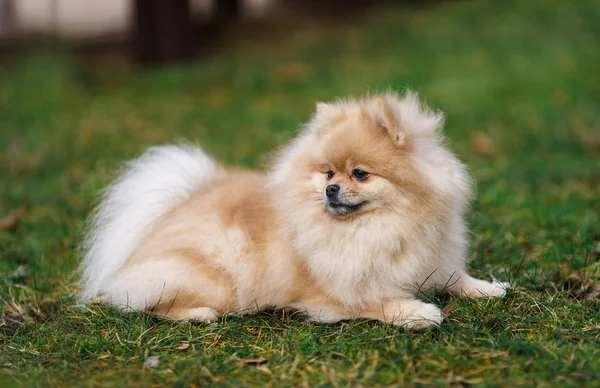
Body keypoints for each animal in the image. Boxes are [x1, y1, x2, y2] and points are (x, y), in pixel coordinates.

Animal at [81, 92, 510, 328]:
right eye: (328, 173)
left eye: (360, 173)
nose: (331, 189)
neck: (384, 226)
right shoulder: (330, 291)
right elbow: (372, 300)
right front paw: (417, 312)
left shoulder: (430, 258)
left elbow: (455, 277)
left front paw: (490, 287)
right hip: (216, 277)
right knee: (140, 302)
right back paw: (197, 314)